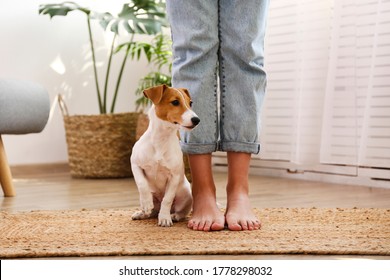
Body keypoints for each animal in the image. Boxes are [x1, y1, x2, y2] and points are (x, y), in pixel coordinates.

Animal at [130, 84, 200, 226]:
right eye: (175, 102)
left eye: (190, 103)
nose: (197, 120)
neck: (160, 140)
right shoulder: (135, 164)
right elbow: (141, 183)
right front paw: (146, 203)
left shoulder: (174, 176)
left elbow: (167, 199)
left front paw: (164, 218)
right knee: (152, 211)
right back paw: (143, 212)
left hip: (186, 194)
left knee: (182, 211)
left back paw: (174, 216)